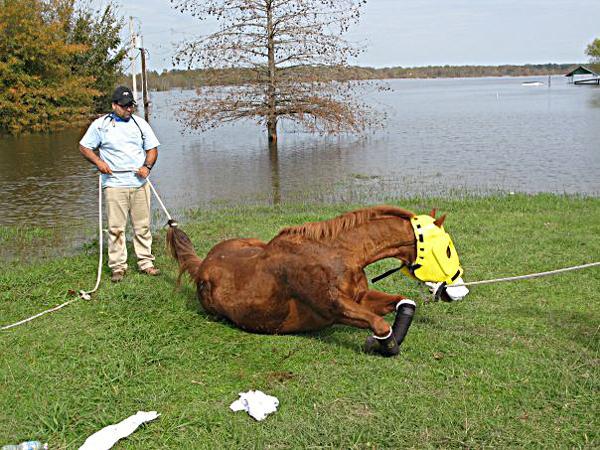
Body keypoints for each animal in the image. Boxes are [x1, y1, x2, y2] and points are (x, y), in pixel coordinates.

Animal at [166, 206, 466, 356]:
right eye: (448, 250)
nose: (458, 291)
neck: (340, 254)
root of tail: (202, 264)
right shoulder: (335, 309)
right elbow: (380, 324)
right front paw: (383, 345)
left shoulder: (360, 298)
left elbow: (405, 303)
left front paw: (378, 341)